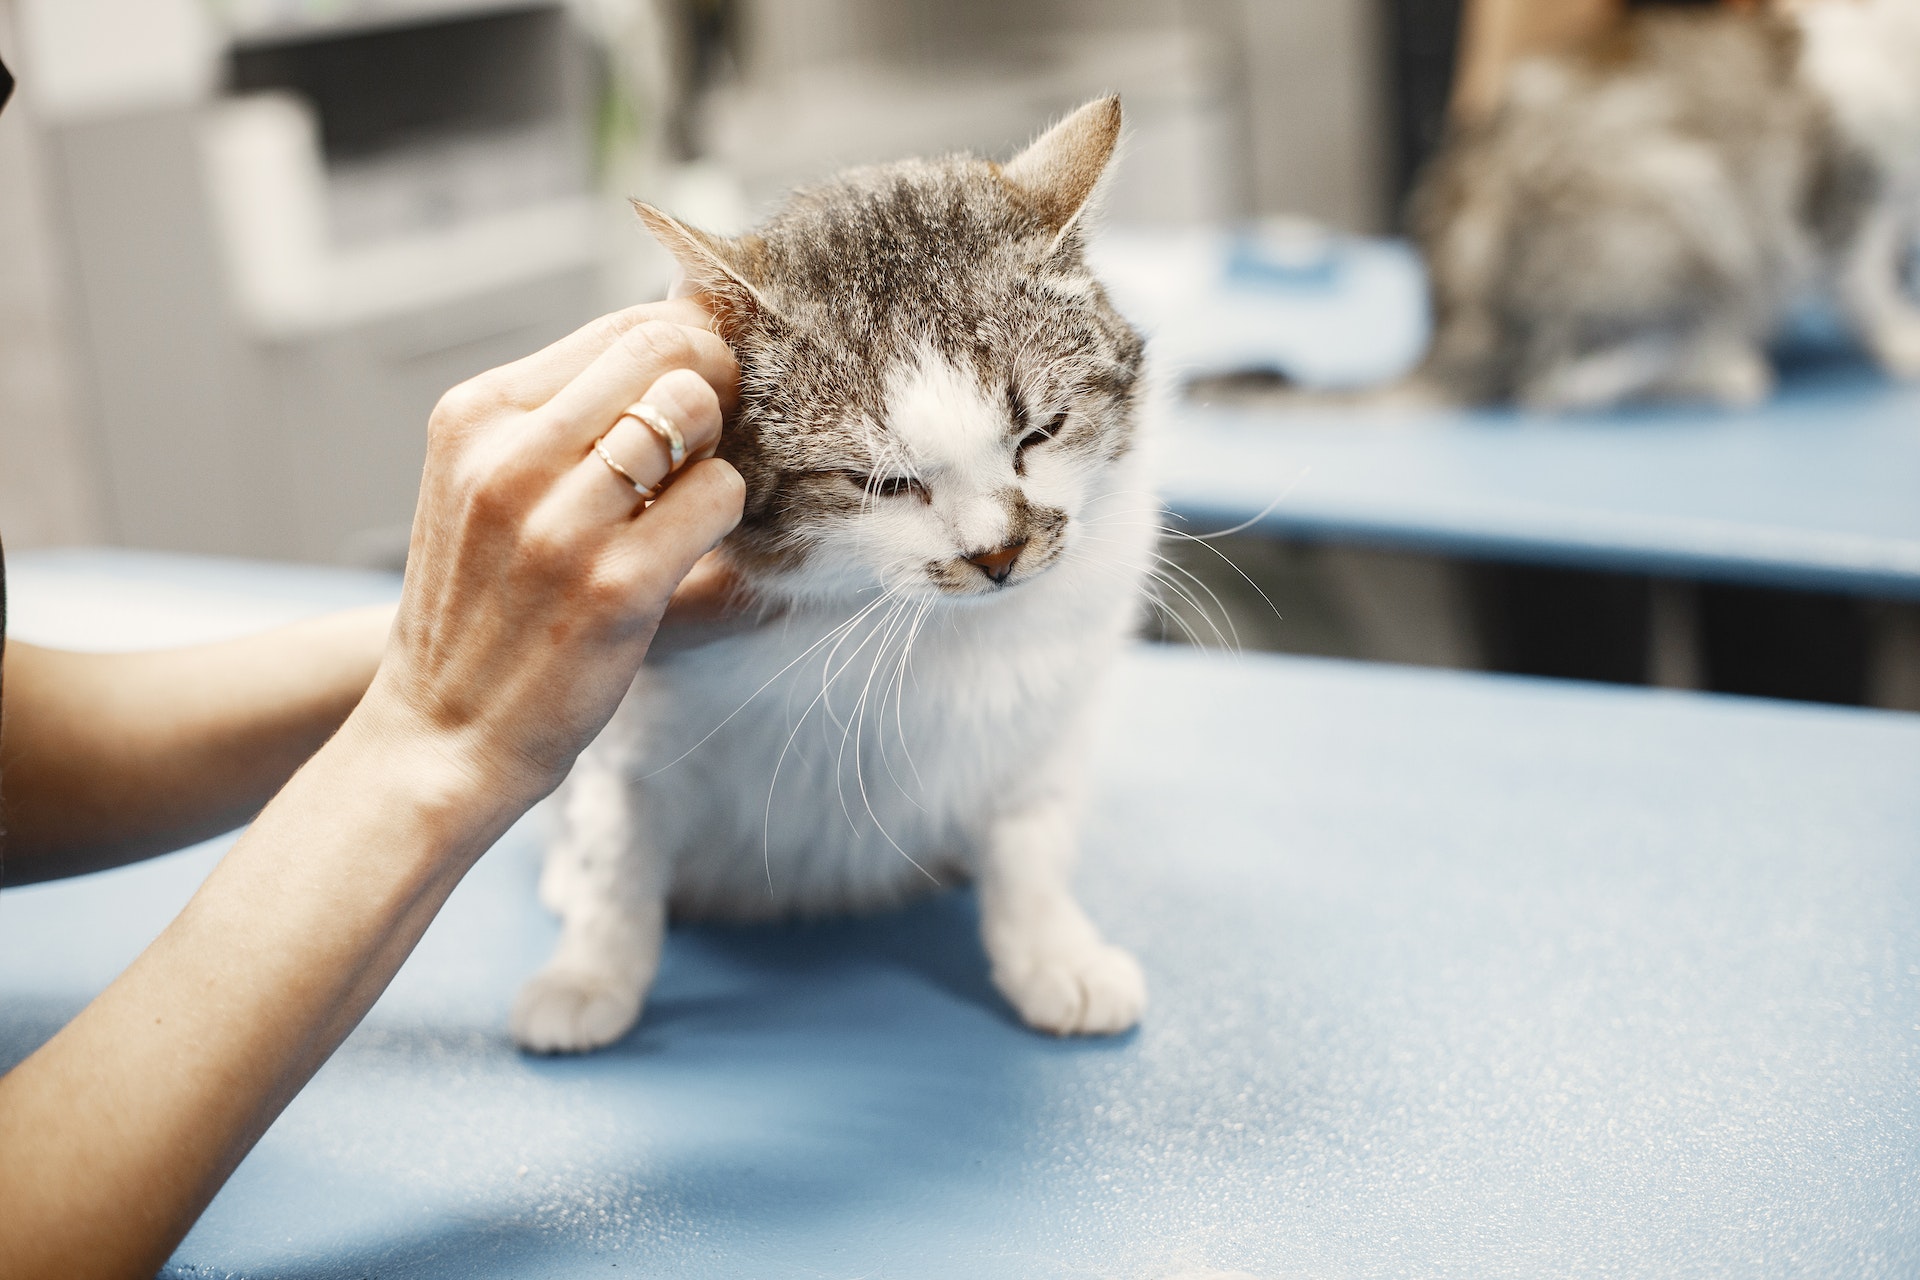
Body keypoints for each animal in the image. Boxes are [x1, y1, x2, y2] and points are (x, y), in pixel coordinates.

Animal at [510, 100, 1159, 1059]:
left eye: (1041, 432)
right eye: (882, 484)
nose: (998, 554)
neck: (903, 623)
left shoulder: (1043, 722)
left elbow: (1031, 840)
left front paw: (1054, 954)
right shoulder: (632, 726)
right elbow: (617, 852)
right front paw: (590, 972)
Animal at [1405, 0, 1920, 410]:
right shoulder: (1845, 200)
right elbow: (1870, 289)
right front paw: (1905, 339)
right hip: (1690, 206)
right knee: (1561, 384)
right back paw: (1725, 368)